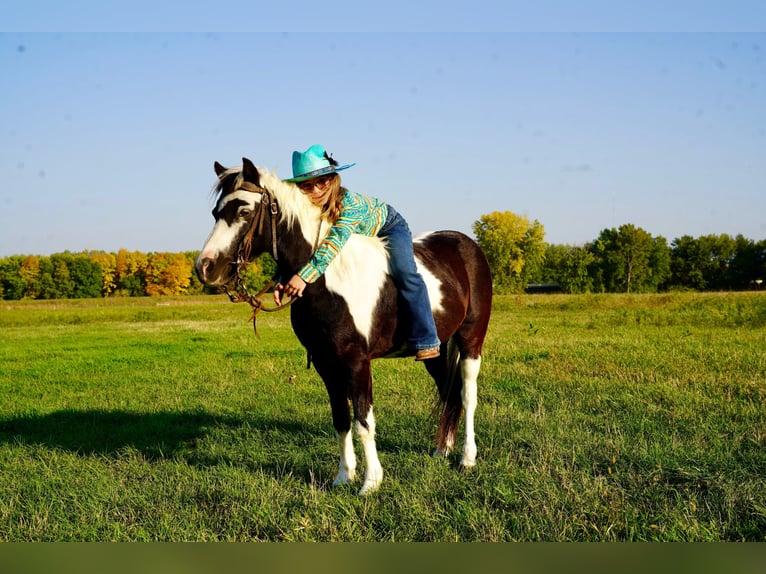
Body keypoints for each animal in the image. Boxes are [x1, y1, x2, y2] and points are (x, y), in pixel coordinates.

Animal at [195, 158, 492, 495]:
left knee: (467, 396)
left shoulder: (356, 362)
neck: (326, 279)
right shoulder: (327, 363)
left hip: (471, 341)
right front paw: (343, 477)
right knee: (449, 394)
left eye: (244, 211)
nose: (205, 267)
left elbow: (364, 421)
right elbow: (341, 419)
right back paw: (441, 451)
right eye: (216, 212)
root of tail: (466, 245)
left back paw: (467, 459)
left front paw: (370, 482)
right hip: (436, 350)